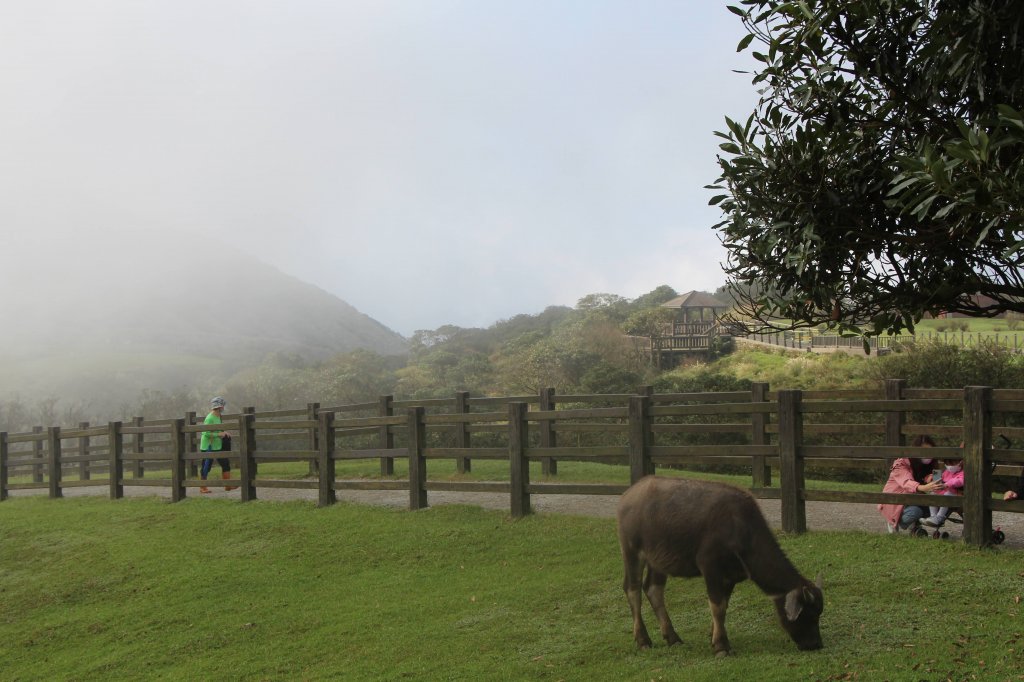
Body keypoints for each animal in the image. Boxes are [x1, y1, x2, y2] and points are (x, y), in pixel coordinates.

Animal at [614, 473, 823, 655]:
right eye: (810, 614)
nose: (816, 644)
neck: (740, 529)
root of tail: (629, 495)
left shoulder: (730, 576)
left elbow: (724, 605)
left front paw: (713, 636)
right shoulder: (710, 568)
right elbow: (717, 606)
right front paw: (722, 646)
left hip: (658, 560)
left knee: (653, 589)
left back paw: (673, 638)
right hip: (631, 551)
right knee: (633, 589)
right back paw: (643, 640)